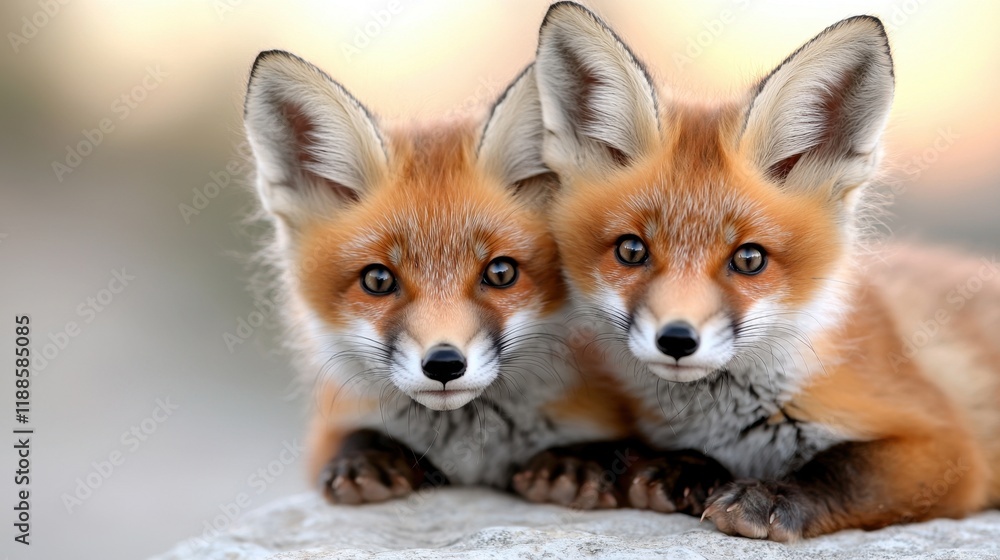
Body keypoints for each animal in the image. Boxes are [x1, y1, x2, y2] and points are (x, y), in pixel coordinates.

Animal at [240, 49, 679, 506]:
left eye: (501, 273)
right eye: (377, 280)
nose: (444, 364)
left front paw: (572, 463)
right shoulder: (332, 427)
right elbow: (354, 438)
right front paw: (367, 456)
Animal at [525, 2, 1000, 540]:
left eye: (749, 259)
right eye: (631, 251)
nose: (677, 340)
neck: (722, 420)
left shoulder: (947, 445)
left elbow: (842, 468)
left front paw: (771, 496)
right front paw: (600, 460)